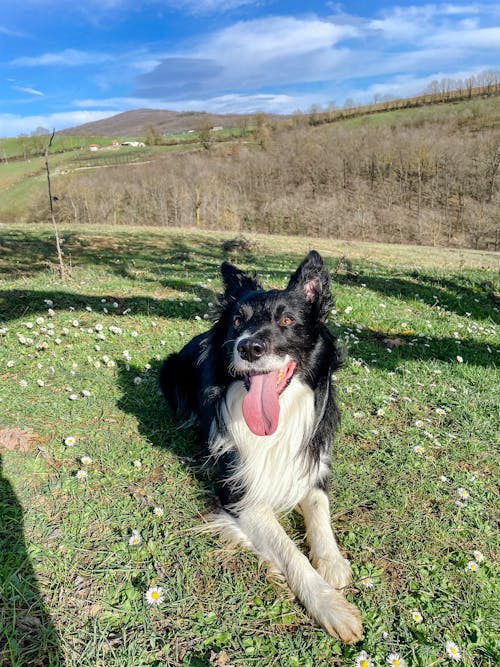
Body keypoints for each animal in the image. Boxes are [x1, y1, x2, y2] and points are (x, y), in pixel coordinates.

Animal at [162, 252, 362, 648]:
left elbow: (320, 510)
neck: (279, 418)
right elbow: (288, 550)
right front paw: (331, 605)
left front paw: (332, 562)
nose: (248, 347)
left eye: (287, 320)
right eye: (239, 321)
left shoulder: (311, 464)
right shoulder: (239, 493)